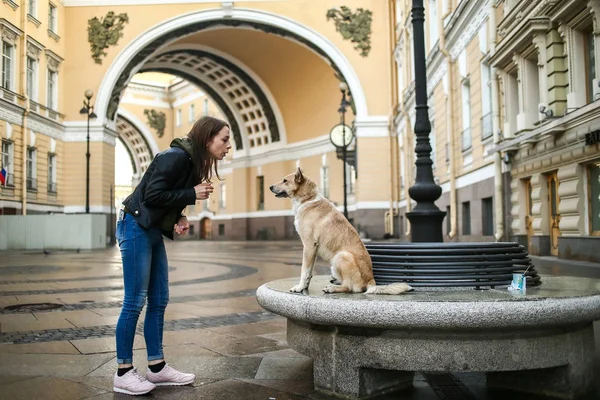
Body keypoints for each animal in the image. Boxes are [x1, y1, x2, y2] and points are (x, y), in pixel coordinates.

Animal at [268, 167, 412, 296]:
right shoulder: (313, 250)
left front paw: (299, 287)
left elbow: (304, 271)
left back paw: (333, 288)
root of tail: (371, 281)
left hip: (341, 256)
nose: (269, 187)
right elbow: (309, 272)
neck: (308, 199)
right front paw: (305, 287)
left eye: (285, 181)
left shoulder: (308, 246)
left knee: (350, 288)